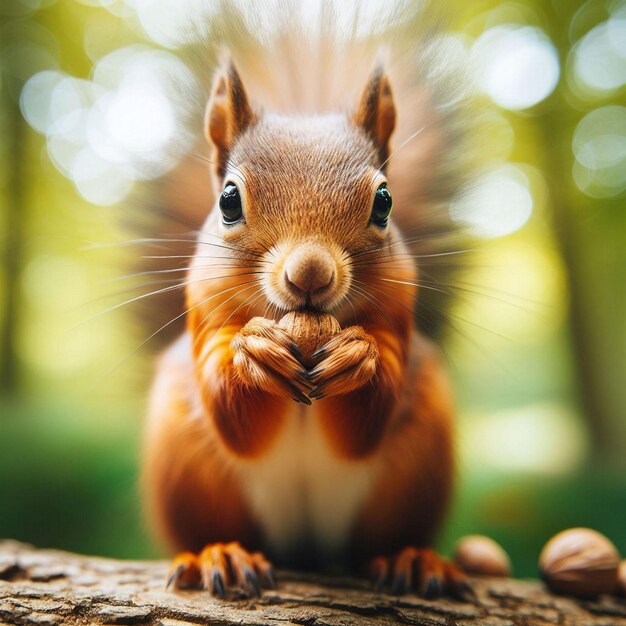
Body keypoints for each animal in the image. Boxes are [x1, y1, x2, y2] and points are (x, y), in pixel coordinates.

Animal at [141, 8, 472, 596]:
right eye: (228, 200)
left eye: (384, 201)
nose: (310, 274)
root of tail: (307, 548)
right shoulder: (204, 305)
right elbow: (233, 416)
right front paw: (253, 353)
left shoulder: (399, 307)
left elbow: (368, 420)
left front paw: (358, 356)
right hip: (185, 469)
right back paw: (217, 554)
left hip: (415, 469)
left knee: (378, 542)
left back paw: (412, 559)